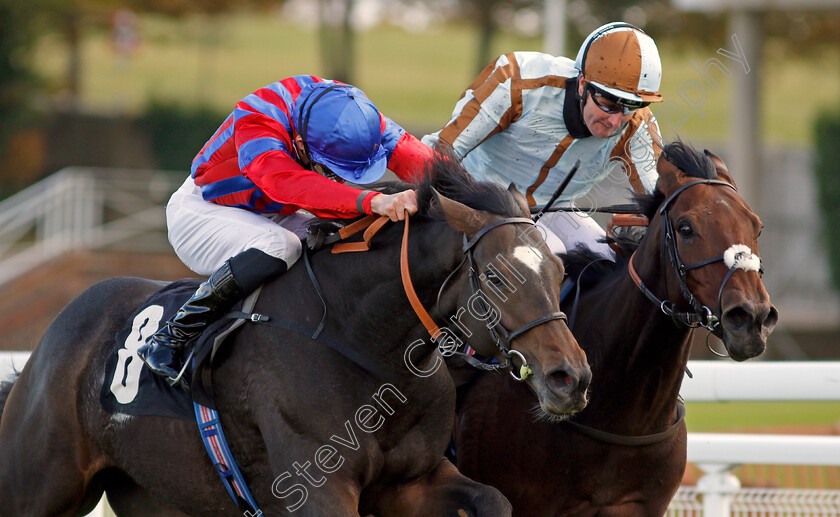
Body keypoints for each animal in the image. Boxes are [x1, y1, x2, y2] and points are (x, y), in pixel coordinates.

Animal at [0, 154, 592, 516]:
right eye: (495, 277)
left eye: (560, 270)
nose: (571, 378)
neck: (368, 347)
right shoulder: (316, 489)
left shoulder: (413, 480)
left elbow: (494, 500)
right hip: (39, 484)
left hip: (154, 492)